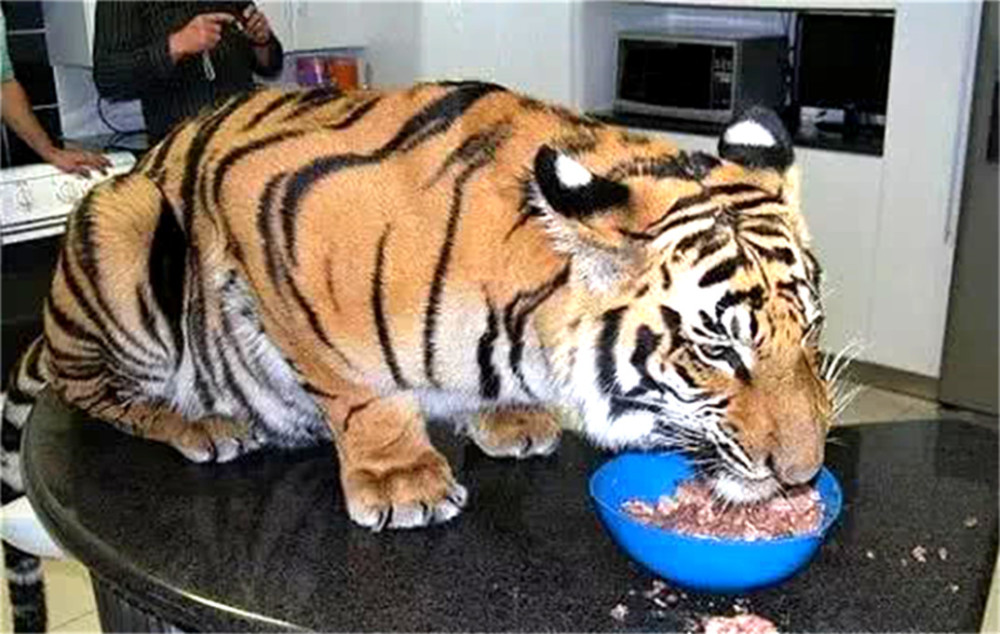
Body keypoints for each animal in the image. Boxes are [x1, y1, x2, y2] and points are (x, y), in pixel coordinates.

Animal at [1, 80, 832, 632]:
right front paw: (402, 481)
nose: (801, 475)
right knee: (88, 388)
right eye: (718, 350)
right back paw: (199, 424)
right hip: (124, 222)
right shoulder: (271, 223)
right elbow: (359, 389)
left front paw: (509, 420)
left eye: (813, 331)